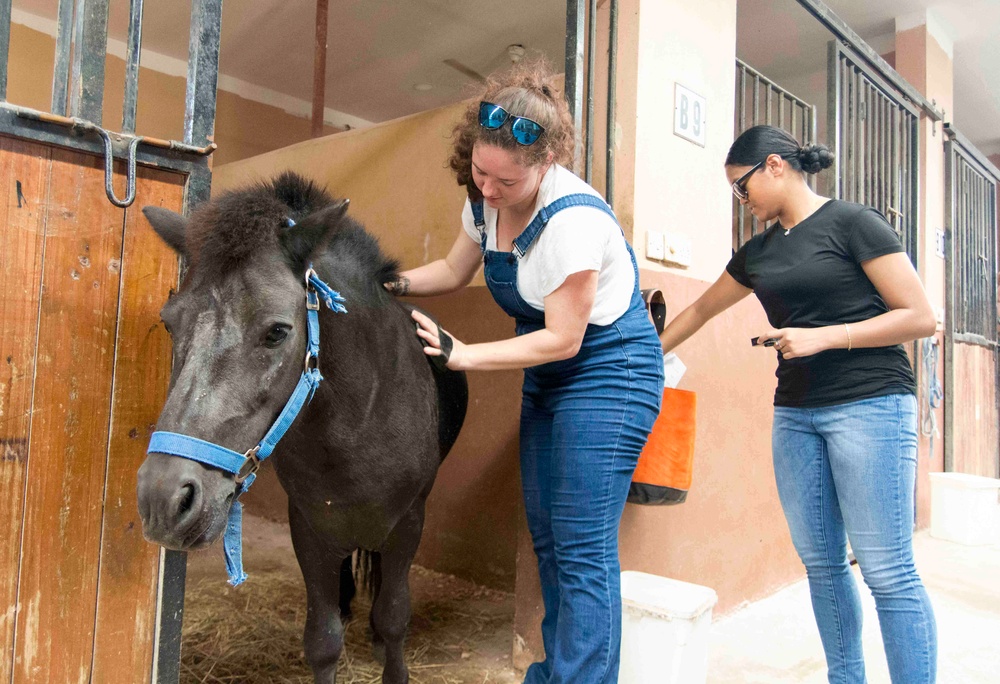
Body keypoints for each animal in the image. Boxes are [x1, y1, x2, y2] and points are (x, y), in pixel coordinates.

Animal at [133, 171, 468, 684]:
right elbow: (323, 640)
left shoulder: (407, 526)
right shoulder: (311, 530)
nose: (163, 499)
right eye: (170, 324)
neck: (363, 417)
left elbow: (394, 617)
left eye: (277, 332)